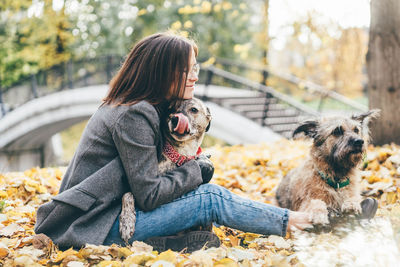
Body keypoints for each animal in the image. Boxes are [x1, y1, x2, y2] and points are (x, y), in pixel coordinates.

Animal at [119, 98, 211, 243]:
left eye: (194, 109)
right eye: (171, 109)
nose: (175, 119)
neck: (180, 156)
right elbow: (127, 195)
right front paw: (126, 222)